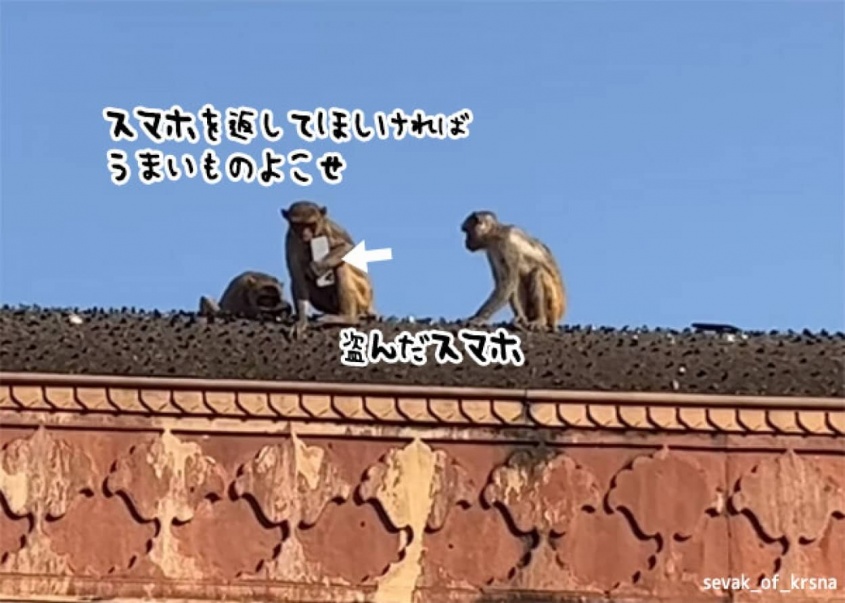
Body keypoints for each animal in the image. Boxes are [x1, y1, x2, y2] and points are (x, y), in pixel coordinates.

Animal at [281, 200, 376, 338]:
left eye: (310, 224)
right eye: (298, 225)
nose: (305, 234)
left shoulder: (329, 231)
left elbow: (348, 248)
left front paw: (318, 267)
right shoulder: (291, 240)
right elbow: (297, 277)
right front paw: (302, 320)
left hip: (363, 293)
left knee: (341, 266)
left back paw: (347, 318)